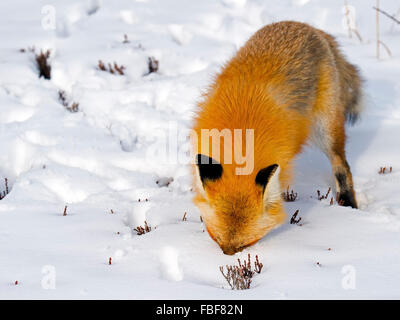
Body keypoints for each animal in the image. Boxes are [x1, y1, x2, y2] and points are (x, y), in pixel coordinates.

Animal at [191, 20, 362, 255]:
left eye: (246, 244)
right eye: (214, 237)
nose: (227, 256)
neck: (240, 139)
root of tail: (306, 26)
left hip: (325, 128)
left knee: (341, 165)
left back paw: (349, 205)